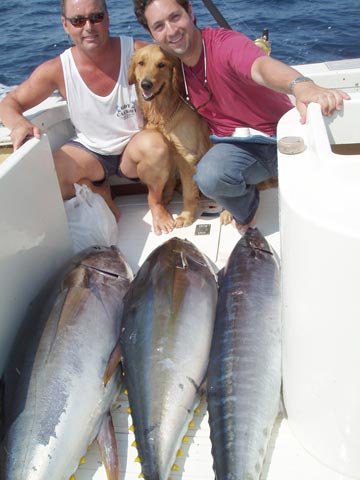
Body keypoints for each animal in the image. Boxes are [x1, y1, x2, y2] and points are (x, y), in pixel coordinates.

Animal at [128, 44, 211, 228]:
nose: (146, 84)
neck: (163, 114)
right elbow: (169, 181)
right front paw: (164, 198)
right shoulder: (171, 154)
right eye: (141, 63)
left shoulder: (186, 157)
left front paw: (186, 216)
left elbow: (188, 193)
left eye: (161, 65)